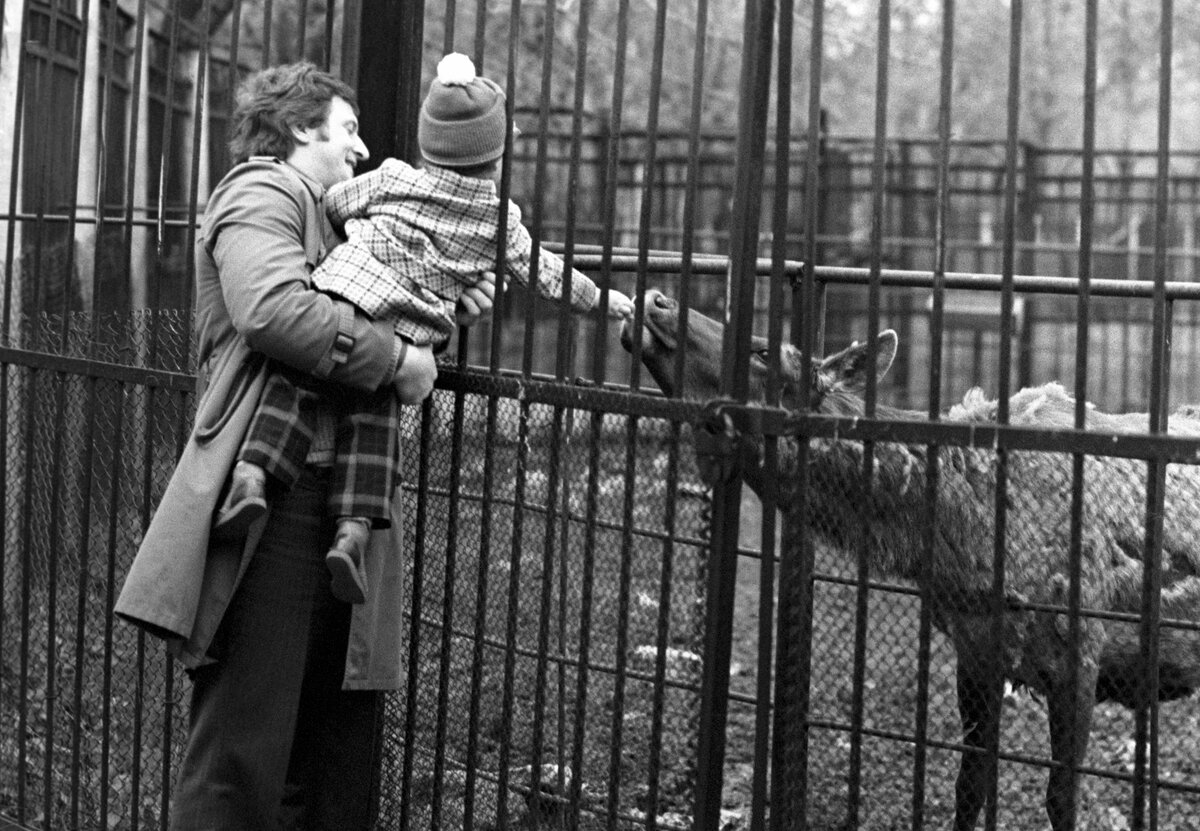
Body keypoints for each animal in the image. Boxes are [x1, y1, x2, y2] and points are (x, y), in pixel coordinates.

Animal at [624, 289, 1200, 831]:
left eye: (765, 351)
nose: (654, 300)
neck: (963, 538)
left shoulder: (1079, 654)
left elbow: (1061, 799)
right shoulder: (976, 653)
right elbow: (969, 786)